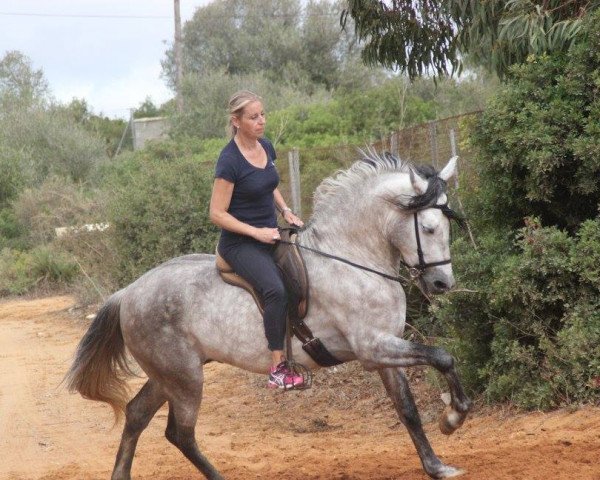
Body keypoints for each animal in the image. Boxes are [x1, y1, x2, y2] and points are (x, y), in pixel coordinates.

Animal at [65, 151, 474, 480]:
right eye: (428, 228)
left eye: (446, 226)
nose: (442, 283)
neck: (352, 257)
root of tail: (128, 293)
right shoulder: (373, 348)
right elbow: (443, 357)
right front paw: (453, 418)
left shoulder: (386, 349)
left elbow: (408, 409)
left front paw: (437, 465)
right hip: (184, 379)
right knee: (180, 434)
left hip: (169, 375)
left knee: (136, 415)